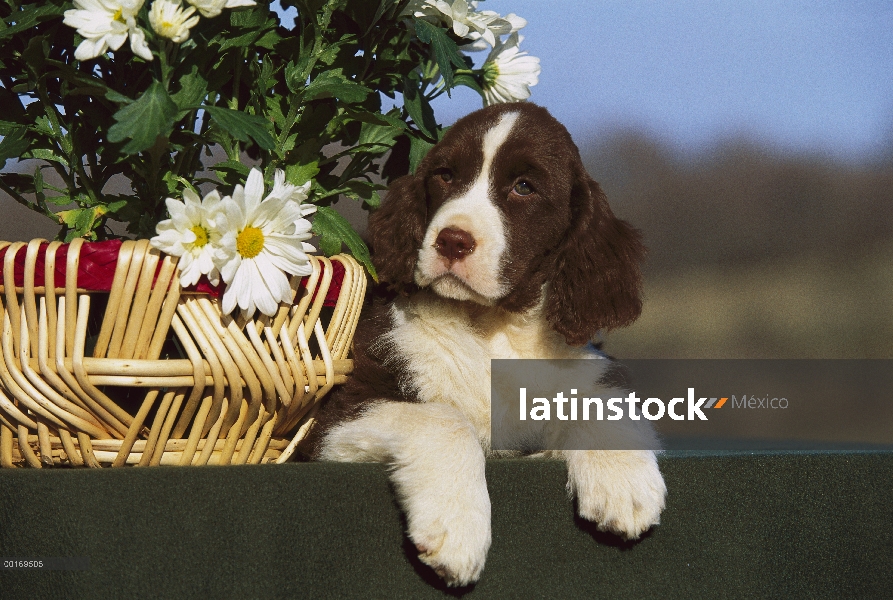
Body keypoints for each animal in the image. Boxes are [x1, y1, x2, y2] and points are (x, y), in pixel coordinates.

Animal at [304, 102, 664, 584]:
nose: (452, 241)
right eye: (445, 175)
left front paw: (625, 485)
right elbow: (445, 418)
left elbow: (600, 397)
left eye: (524, 187)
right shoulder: (332, 420)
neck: (492, 326)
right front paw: (457, 532)